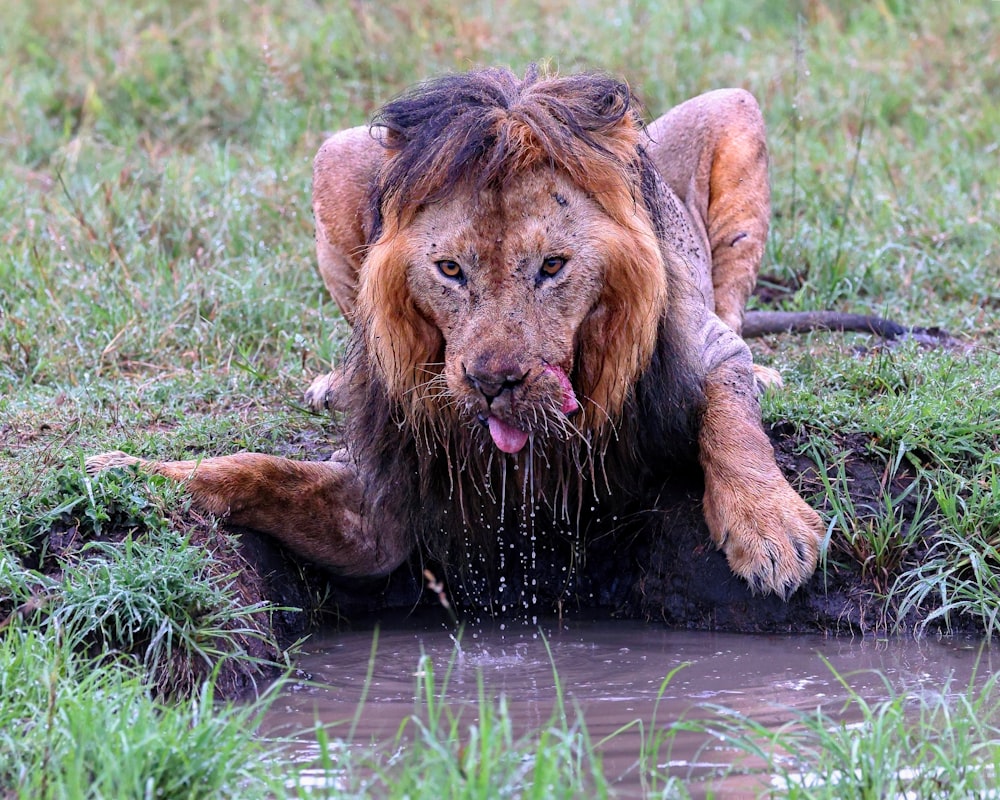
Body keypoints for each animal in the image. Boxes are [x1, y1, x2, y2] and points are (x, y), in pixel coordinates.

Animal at [90, 65, 828, 608]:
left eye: (552, 265)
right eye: (450, 270)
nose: (493, 382)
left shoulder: (704, 353)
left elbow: (732, 418)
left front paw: (771, 528)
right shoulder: (379, 509)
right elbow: (253, 471)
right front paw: (128, 473)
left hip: (734, 111)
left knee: (734, 307)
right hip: (339, 155)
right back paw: (334, 383)